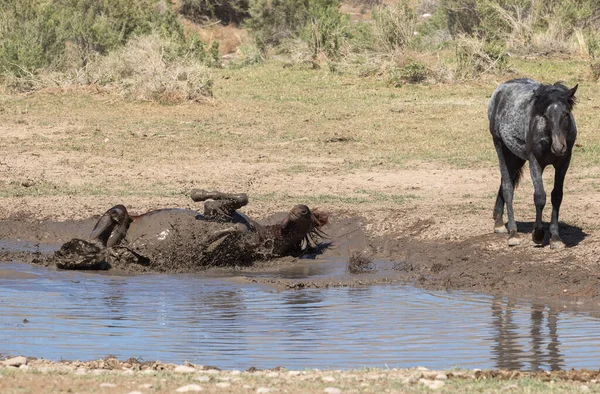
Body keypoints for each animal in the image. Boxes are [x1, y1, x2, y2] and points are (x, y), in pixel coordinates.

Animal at [490, 78, 580, 248]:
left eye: (566, 113)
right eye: (545, 115)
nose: (559, 147)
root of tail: (500, 89)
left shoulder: (563, 163)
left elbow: (557, 196)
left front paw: (555, 238)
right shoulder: (535, 162)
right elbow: (539, 196)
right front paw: (538, 234)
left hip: (516, 158)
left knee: (505, 182)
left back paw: (498, 222)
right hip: (501, 148)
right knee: (507, 187)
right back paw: (513, 234)